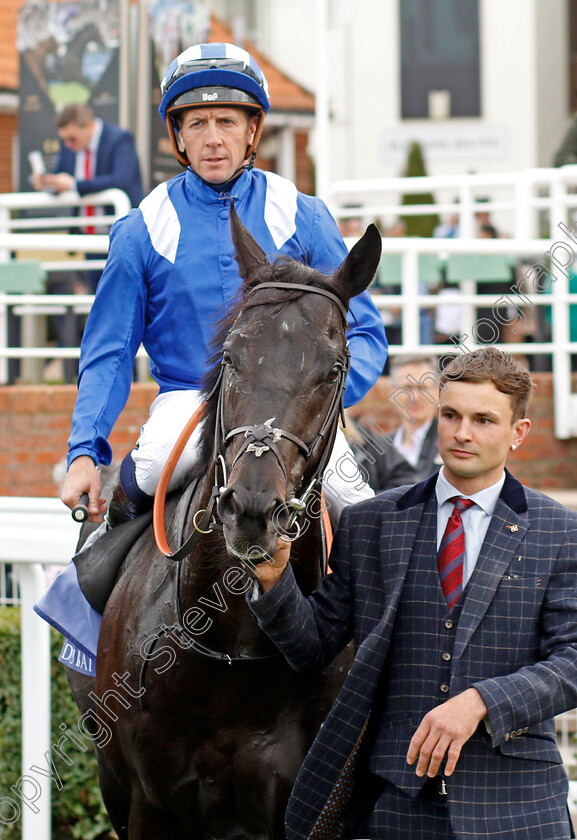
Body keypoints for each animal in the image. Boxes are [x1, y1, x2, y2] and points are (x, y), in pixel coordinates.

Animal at [72, 205, 380, 840]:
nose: (253, 509)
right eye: (233, 354)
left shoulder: (316, 810)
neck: (235, 656)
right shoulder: (150, 806)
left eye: (335, 367)